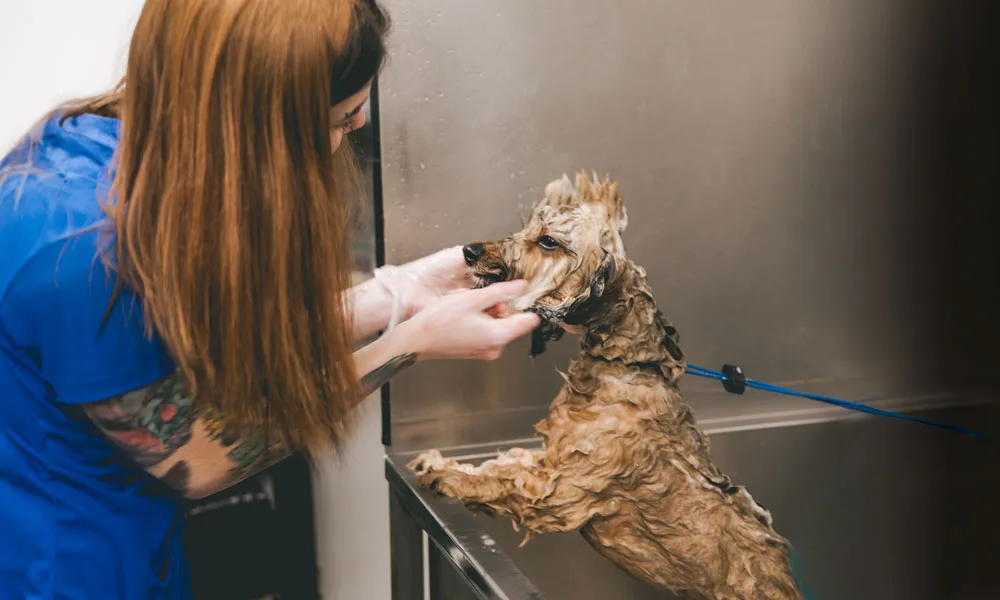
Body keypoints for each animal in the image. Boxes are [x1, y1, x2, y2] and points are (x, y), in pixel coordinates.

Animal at [406, 171, 804, 596]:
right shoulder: (550, 455)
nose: (468, 251)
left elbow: (506, 480)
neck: (620, 365)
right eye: (525, 227)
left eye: (548, 241)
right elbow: (502, 463)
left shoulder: (559, 489)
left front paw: (447, 478)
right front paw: (443, 463)